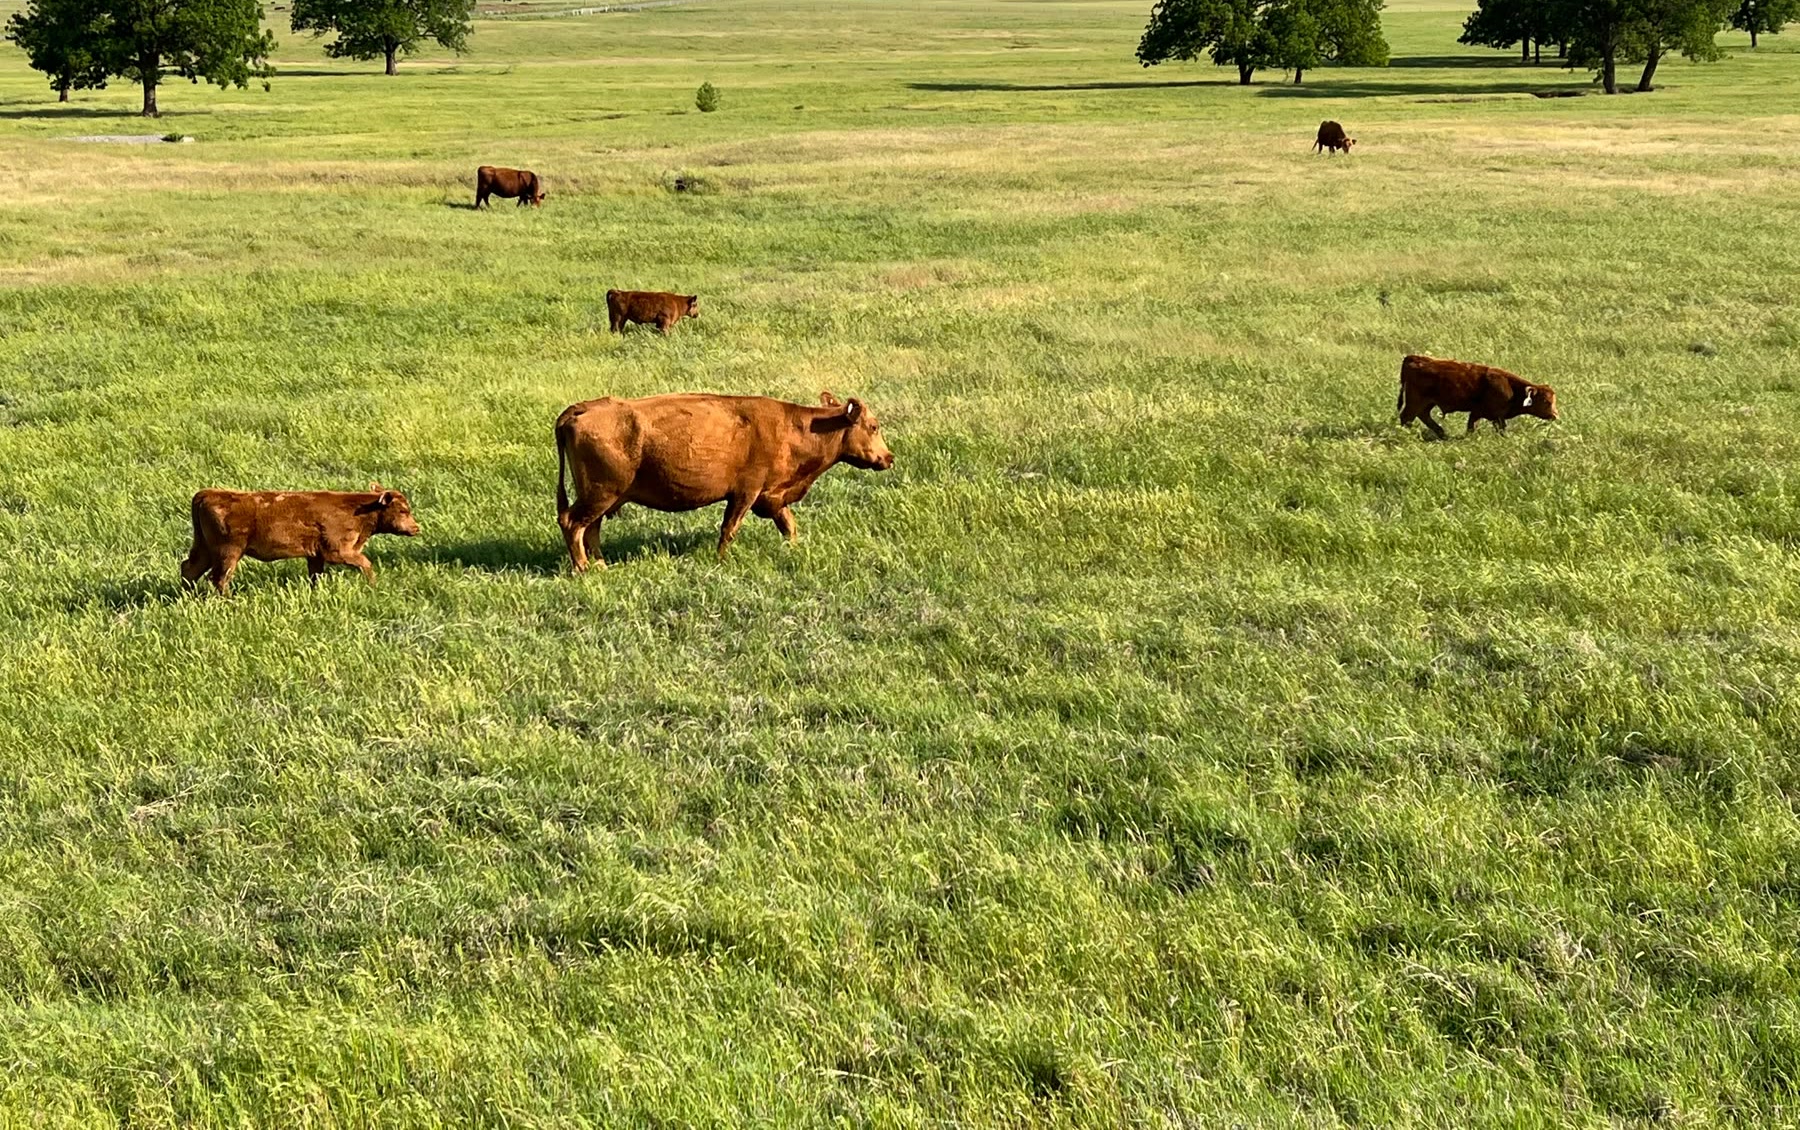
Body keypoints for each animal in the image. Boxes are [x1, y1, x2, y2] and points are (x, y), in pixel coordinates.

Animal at [180, 484, 421, 594]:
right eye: (403, 510)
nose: (416, 528)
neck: (358, 510)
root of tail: (209, 493)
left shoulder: (315, 555)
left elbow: (316, 576)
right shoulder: (337, 551)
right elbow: (366, 563)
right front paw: (373, 585)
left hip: (205, 549)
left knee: (190, 569)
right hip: (228, 553)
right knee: (219, 578)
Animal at [554, 391, 894, 571]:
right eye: (873, 426)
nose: (889, 458)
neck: (794, 428)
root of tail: (580, 410)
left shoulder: (770, 497)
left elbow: (788, 525)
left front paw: (794, 549)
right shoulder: (746, 493)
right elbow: (729, 529)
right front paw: (721, 559)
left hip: (602, 498)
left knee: (590, 528)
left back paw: (600, 565)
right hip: (600, 494)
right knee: (572, 523)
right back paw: (584, 568)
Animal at [1397, 354, 1558, 439]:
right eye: (1545, 401)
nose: (1555, 415)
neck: (1511, 387)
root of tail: (1415, 358)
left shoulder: (1485, 415)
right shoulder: (1487, 414)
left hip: (1426, 403)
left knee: (1423, 415)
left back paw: (1442, 434)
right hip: (1415, 402)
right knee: (1407, 417)